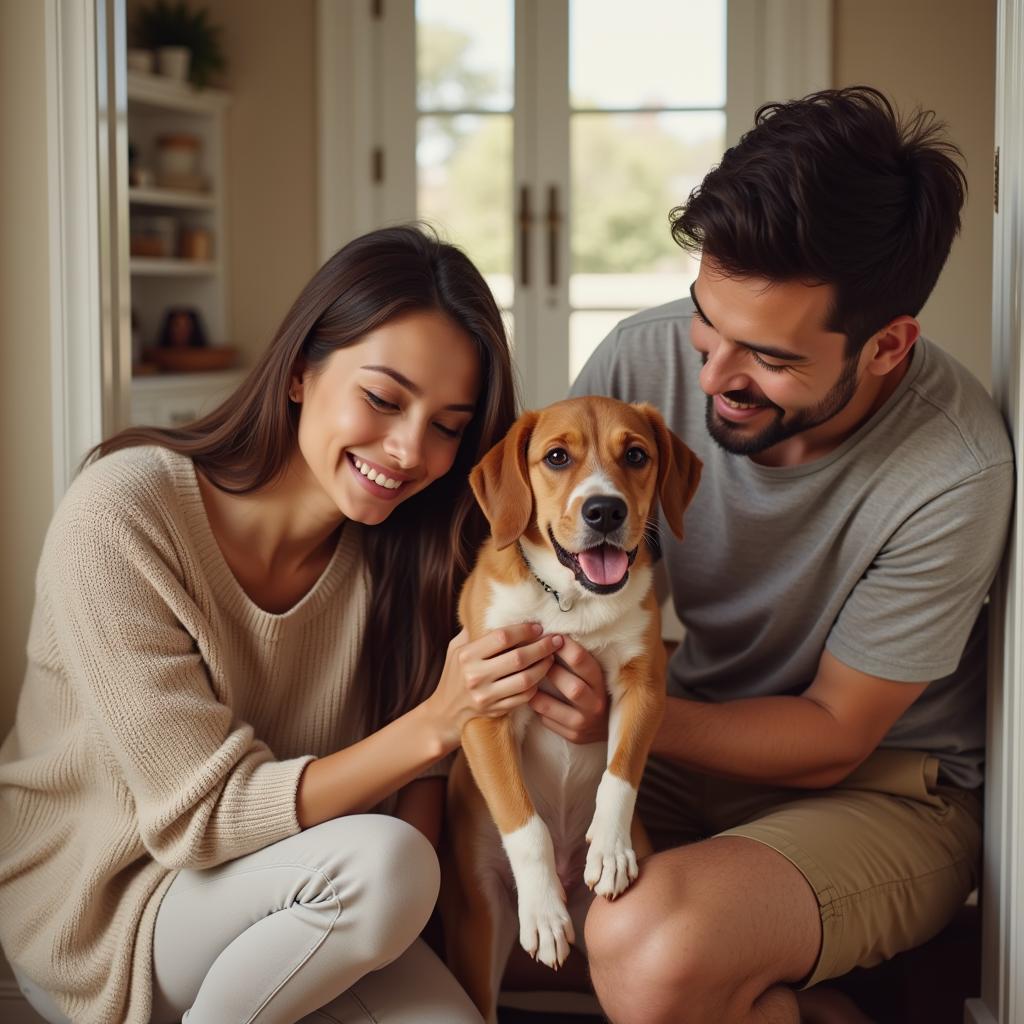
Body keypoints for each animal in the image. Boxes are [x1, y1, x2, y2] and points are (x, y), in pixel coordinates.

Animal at [446, 395, 704, 1019]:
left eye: (636, 455)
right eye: (557, 457)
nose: (605, 511)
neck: (571, 601)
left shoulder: (644, 686)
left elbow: (620, 774)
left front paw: (609, 849)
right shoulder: (485, 706)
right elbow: (525, 822)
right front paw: (542, 911)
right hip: (480, 929)